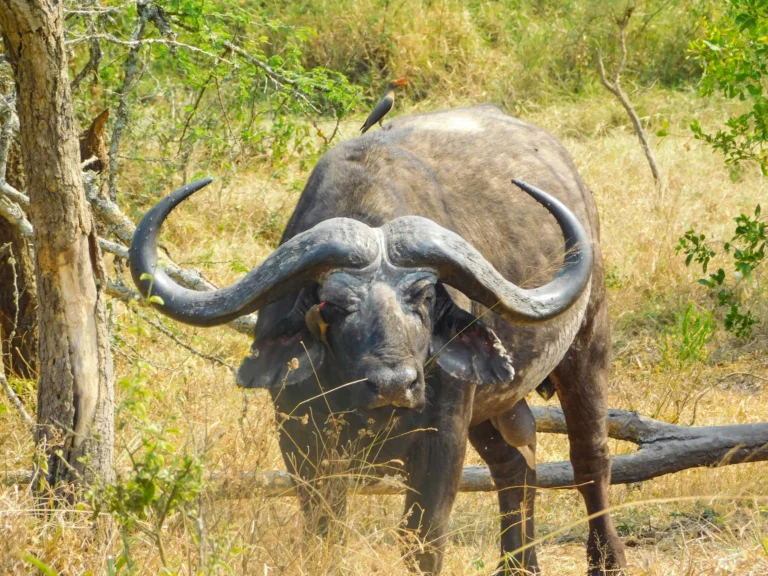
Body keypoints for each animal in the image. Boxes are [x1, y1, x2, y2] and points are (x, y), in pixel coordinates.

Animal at [130, 105, 626, 575]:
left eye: (424, 295)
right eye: (333, 303)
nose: (394, 385)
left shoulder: (442, 438)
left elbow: (421, 539)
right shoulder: (301, 440)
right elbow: (325, 529)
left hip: (587, 344)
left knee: (590, 459)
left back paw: (607, 559)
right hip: (494, 403)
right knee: (516, 464)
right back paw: (519, 565)